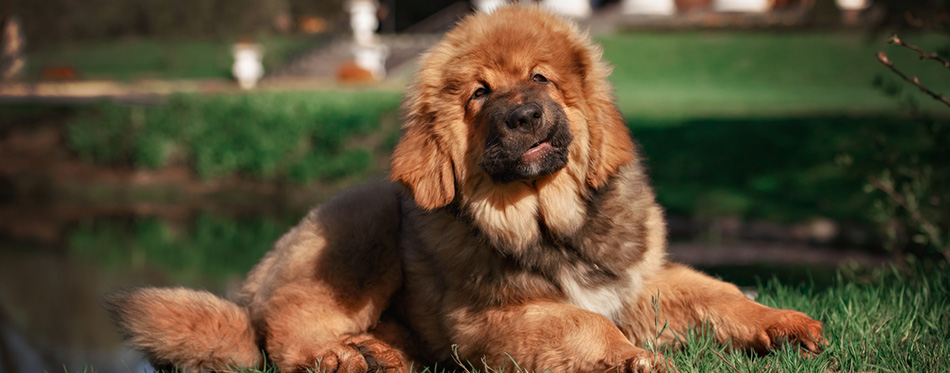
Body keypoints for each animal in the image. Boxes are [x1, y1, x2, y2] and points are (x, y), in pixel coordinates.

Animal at [108, 6, 824, 372]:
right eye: (480, 92)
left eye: (541, 78)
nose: (523, 116)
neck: (546, 221)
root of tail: (252, 282)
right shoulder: (488, 321)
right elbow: (580, 321)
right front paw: (632, 360)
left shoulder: (638, 281)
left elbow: (719, 296)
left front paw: (784, 324)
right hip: (362, 221)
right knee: (281, 332)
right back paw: (337, 356)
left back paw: (381, 354)